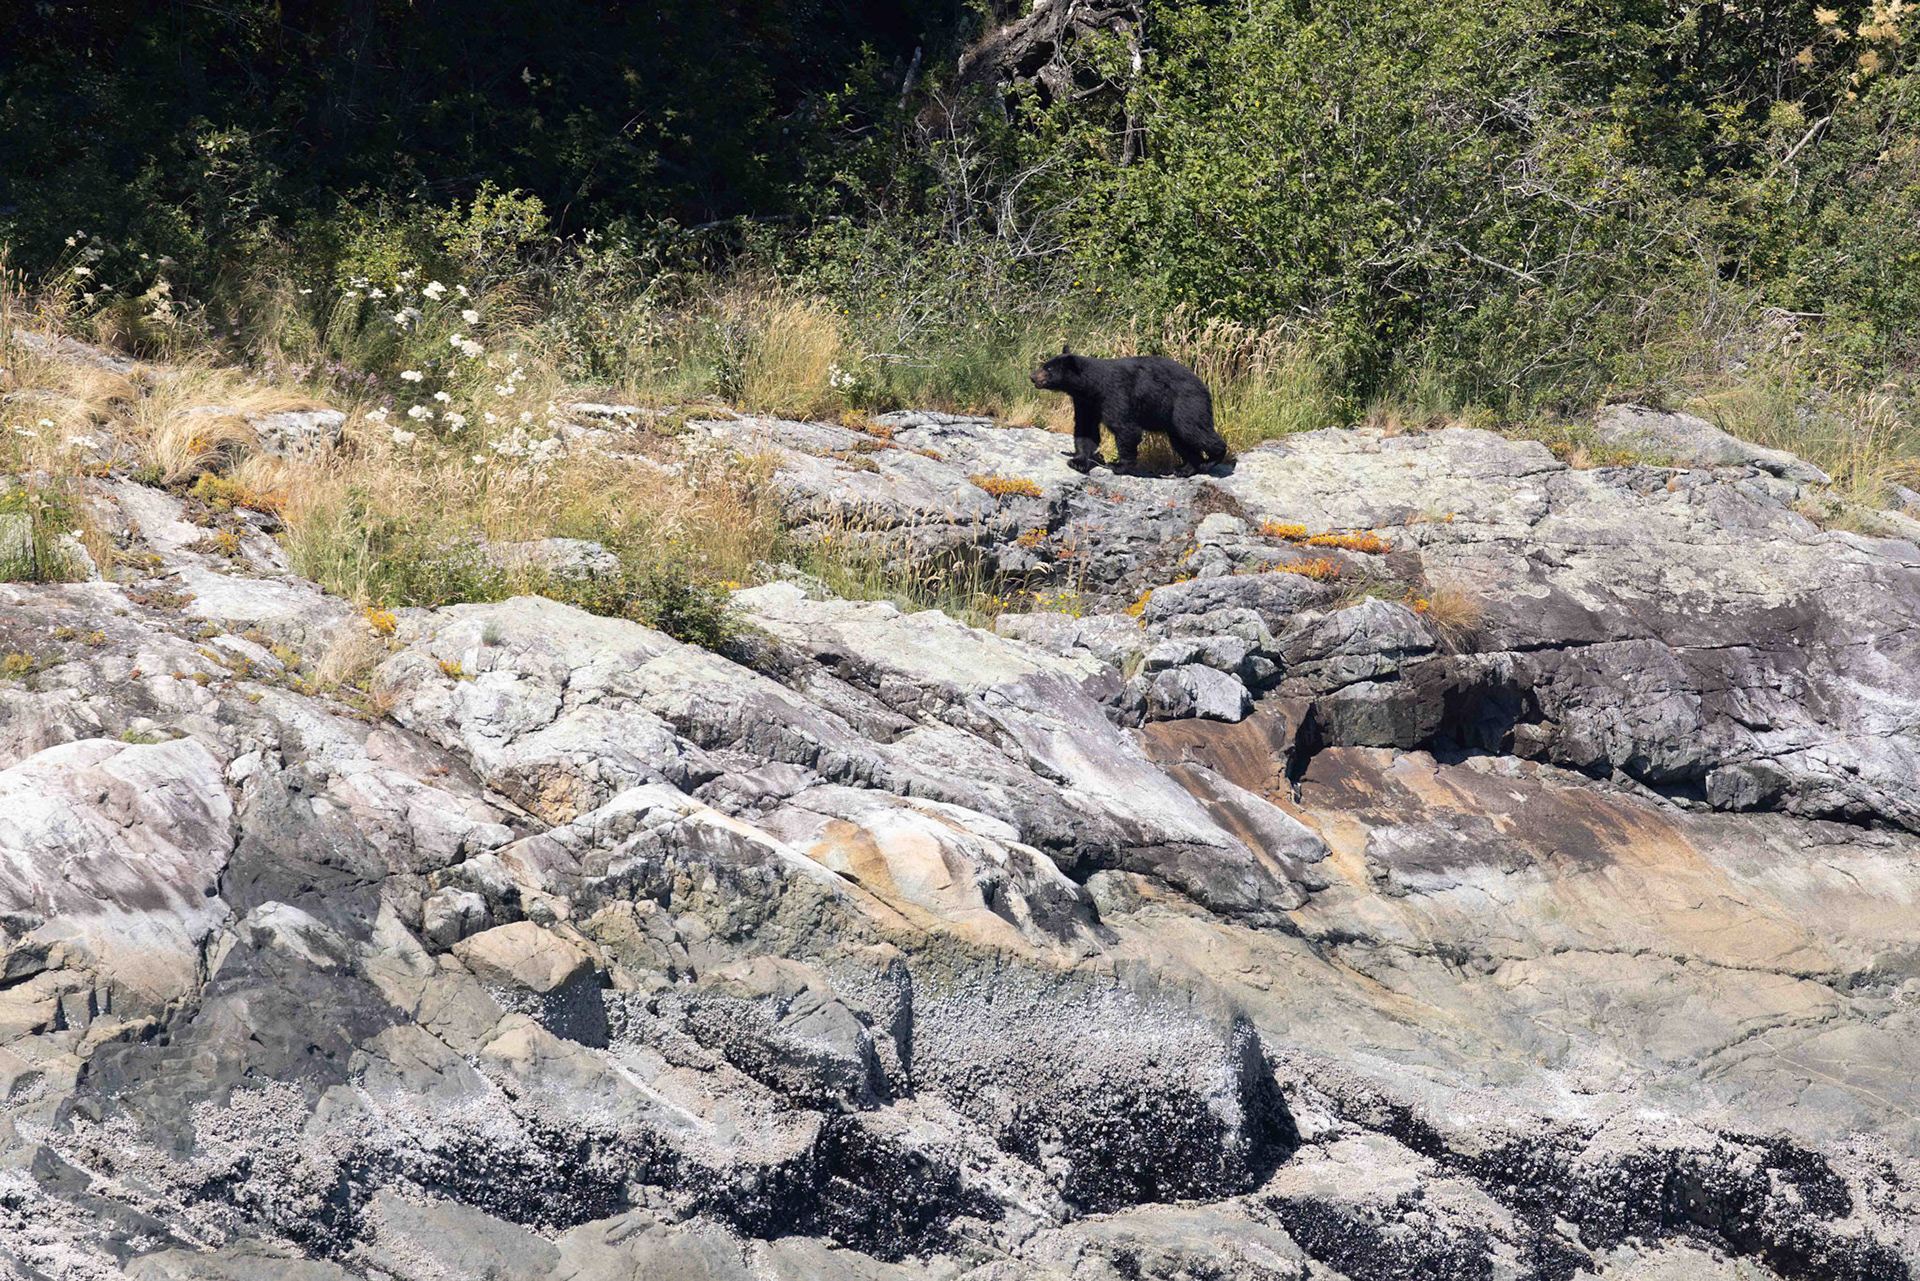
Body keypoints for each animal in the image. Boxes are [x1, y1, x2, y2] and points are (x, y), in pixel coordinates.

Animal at [1029, 346, 1229, 476]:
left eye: (1048, 368)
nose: (1032, 376)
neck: (1092, 386)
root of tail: (1204, 386)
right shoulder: (1086, 402)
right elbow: (1085, 428)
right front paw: (1078, 461)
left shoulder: (1114, 394)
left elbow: (1125, 428)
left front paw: (1118, 465)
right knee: (1181, 439)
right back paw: (1185, 469)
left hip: (1187, 403)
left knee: (1193, 430)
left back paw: (1211, 460)